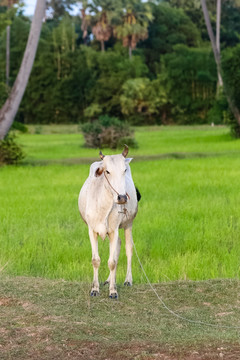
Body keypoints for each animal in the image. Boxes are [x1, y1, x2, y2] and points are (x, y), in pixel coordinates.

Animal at [79, 145, 139, 300]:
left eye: (124, 170)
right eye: (107, 171)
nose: (122, 197)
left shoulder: (114, 230)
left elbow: (112, 262)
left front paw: (113, 291)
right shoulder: (92, 230)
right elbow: (96, 260)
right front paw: (95, 289)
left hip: (128, 224)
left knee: (128, 249)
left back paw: (127, 280)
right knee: (118, 247)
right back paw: (108, 279)